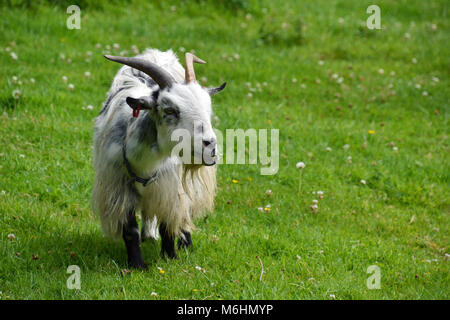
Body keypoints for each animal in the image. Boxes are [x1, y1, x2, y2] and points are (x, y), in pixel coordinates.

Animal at [92, 48, 225, 268]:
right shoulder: (119, 187)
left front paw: (170, 257)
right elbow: (130, 231)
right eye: (169, 110)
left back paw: (185, 243)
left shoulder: (169, 186)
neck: (145, 165)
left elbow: (168, 224)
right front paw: (137, 265)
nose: (210, 146)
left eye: (209, 109)